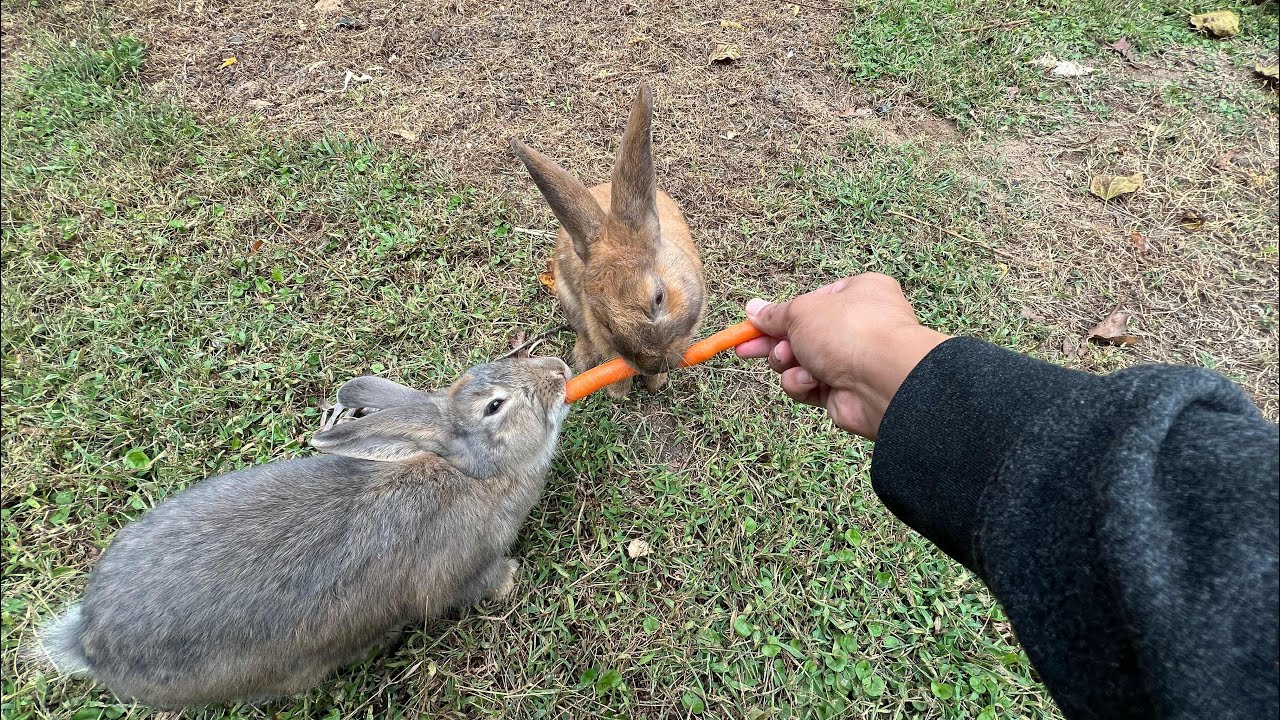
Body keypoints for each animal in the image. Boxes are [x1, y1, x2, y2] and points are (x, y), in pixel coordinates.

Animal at [36, 356, 572, 708]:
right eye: (495, 406)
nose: (559, 370)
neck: (474, 473)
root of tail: (89, 643)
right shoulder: (460, 574)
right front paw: (511, 578)